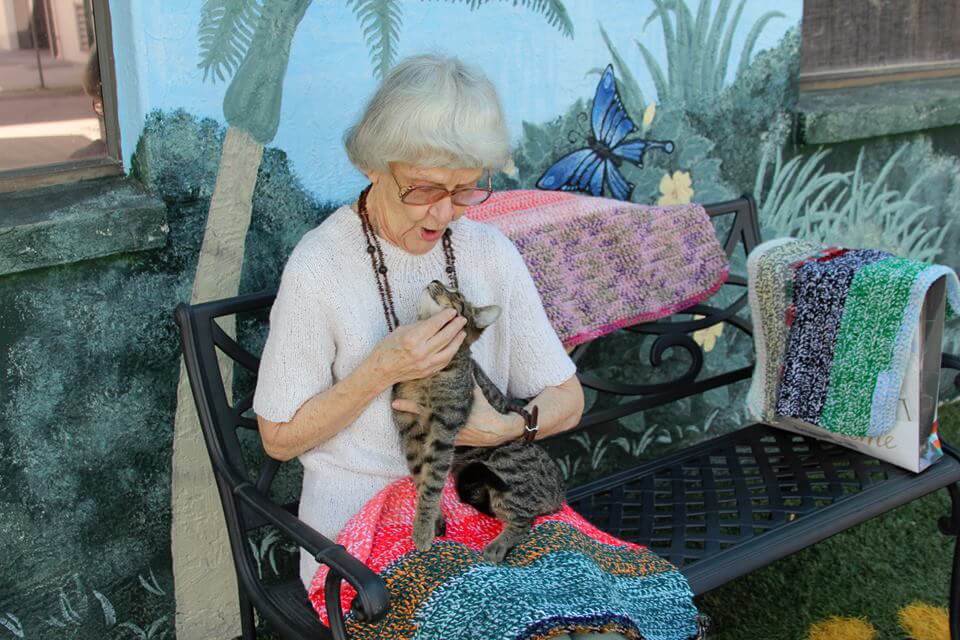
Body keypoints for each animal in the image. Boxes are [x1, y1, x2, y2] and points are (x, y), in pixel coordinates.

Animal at [392, 280, 568, 560]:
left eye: (457, 294)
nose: (434, 281)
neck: (428, 373)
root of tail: (560, 492)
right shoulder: (410, 430)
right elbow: (422, 477)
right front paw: (432, 521)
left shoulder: (445, 428)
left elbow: (432, 482)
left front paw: (422, 530)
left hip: (505, 464)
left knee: (525, 519)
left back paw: (497, 547)